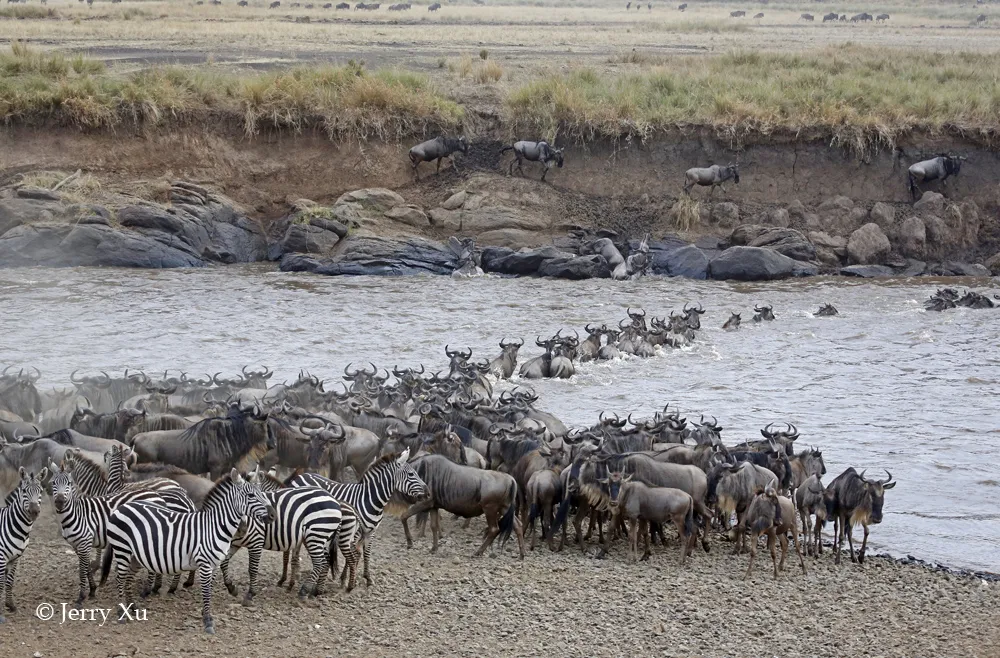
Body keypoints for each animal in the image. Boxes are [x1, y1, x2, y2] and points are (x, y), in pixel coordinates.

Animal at [0, 466, 47, 620]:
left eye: (41, 491)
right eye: (25, 491)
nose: (34, 511)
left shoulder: (15, 558)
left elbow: (9, 582)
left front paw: (10, 605)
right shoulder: (2, 557)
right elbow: (1, 584)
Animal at [102, 466, 274, 632]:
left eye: (262, 493)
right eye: (251, 495)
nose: (273, 515)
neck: (213, 527)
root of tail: (122, 506)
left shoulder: (213, 565)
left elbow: (209, 589)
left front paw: (206, 614)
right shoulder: (205, 563)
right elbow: (206, 591)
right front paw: (207, 621)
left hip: (135, 555)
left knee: (128, 577)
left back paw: (132, 607)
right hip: (122, 549)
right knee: (120, 578)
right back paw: (121, 613)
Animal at [221, 468, 358, 604]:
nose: (242, 528)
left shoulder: (276, 538)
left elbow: (280, 560)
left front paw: (283, 582)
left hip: (326, 537)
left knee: (333, 560)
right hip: (325, 538)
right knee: (332, 560)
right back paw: (319, 590)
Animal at [286, 448, 426, 588]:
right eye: (411, 474)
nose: (427, 493)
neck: (370, 500)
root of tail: (301, 475)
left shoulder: (371, 532)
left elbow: (366, 554)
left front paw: (367, 578)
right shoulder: (355, 532)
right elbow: (353, 555)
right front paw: (346, 579)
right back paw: (296, 574)